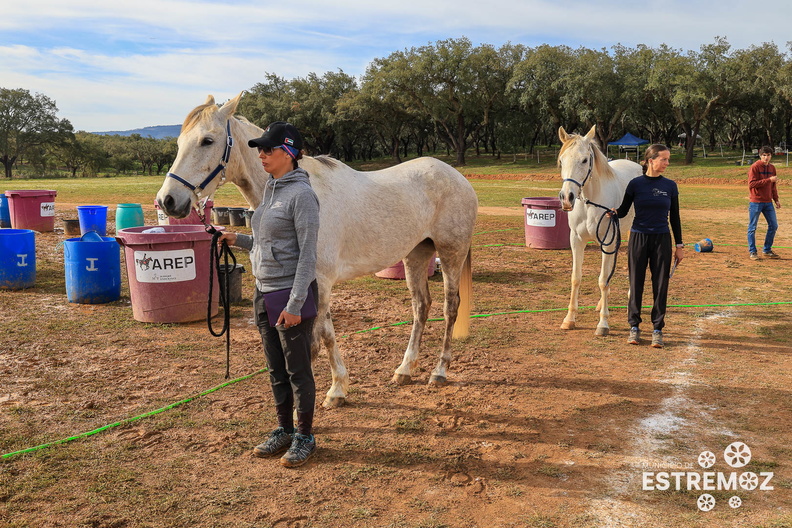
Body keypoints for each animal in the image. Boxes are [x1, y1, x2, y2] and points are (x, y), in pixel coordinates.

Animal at [155, 94, 476, 408]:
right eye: (180, 143)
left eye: (207, 140)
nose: (167, 200)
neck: (305, 190)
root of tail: (456, 177)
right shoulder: (315, 285)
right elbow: (328, 333)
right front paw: (339, 387)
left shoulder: (319, 281)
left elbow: (316, 341)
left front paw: (326, 395)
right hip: (415, 255)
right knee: (421, 307)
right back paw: (405, 369)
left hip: (451, 254)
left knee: (450, 307)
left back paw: (439, 371)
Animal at [556, 126, 644, 336]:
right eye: (561, 160)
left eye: (584, 160)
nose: (566, 198)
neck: (590, 202)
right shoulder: (576, 240)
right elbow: (576, 278)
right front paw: (569, 319)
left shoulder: (608, 241)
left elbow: (603, 280)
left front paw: (603, 324)